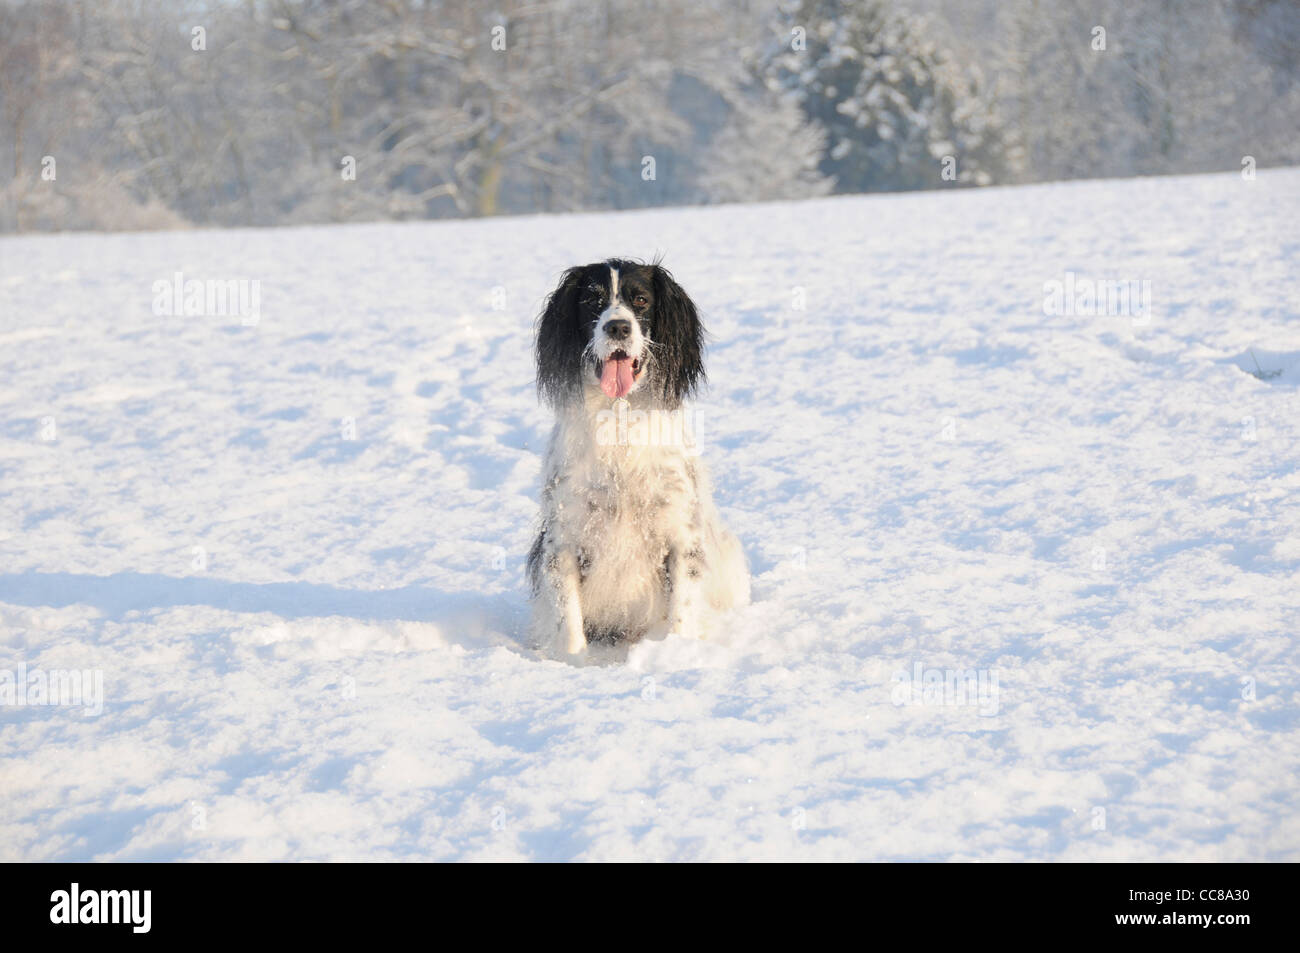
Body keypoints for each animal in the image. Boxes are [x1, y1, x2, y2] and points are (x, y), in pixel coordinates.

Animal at [527, 260, 754, 657]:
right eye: (591, 299)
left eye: (642, 300)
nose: (618, 326)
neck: (620, 418)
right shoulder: (562, 540)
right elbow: (569, 623)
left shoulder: (681, 537)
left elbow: (682, 612)